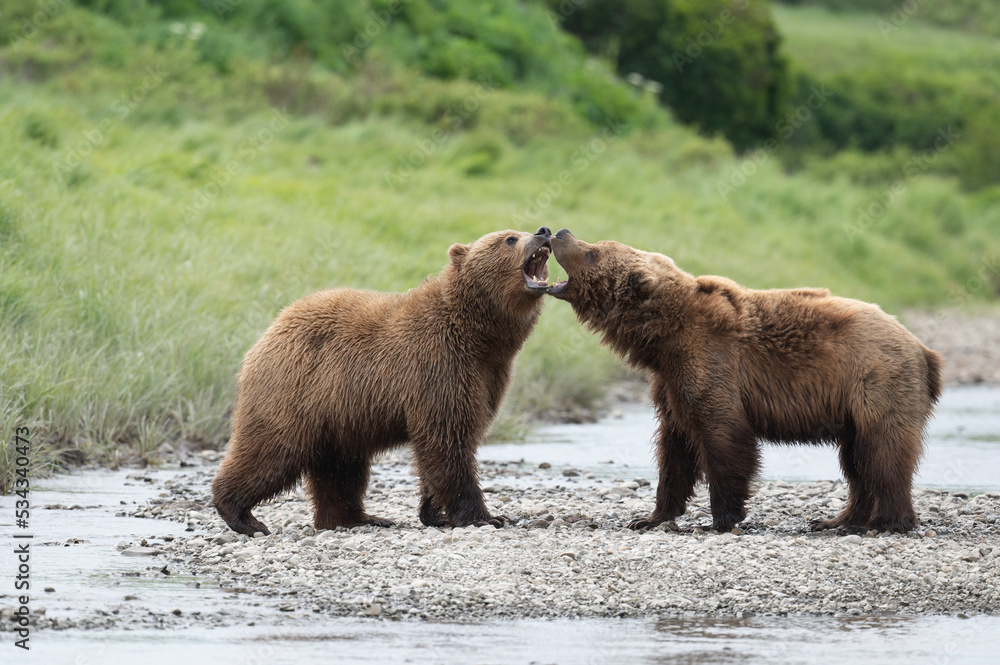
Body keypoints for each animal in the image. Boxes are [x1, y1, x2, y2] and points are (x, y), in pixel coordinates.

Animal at [212, 227, 555, 535]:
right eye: (509, 238)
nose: (544, 231)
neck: (481, 336)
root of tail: (269, 330)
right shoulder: (440, 365)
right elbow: (448, 441)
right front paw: (486, 517)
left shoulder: (488, 376)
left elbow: (455, 438)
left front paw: (435, 511)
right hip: (295, 390)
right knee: (272, 451)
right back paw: (243, 516)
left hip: (337, 416)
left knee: (341, 469)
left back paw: (358, 518)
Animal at [547, 229, 943, 534]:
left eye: (594, 252)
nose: (560, 232)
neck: (662, 338)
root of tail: (922, 348)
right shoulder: (670, 382)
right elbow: (674, 449)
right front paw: (650, 517)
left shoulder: (712, 361)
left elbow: (723, 435)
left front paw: (721, 518)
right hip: (854, 405)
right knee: (856, 459)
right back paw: (838, 520)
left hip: (875, 379)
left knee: (883, 448)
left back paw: (888, 521)